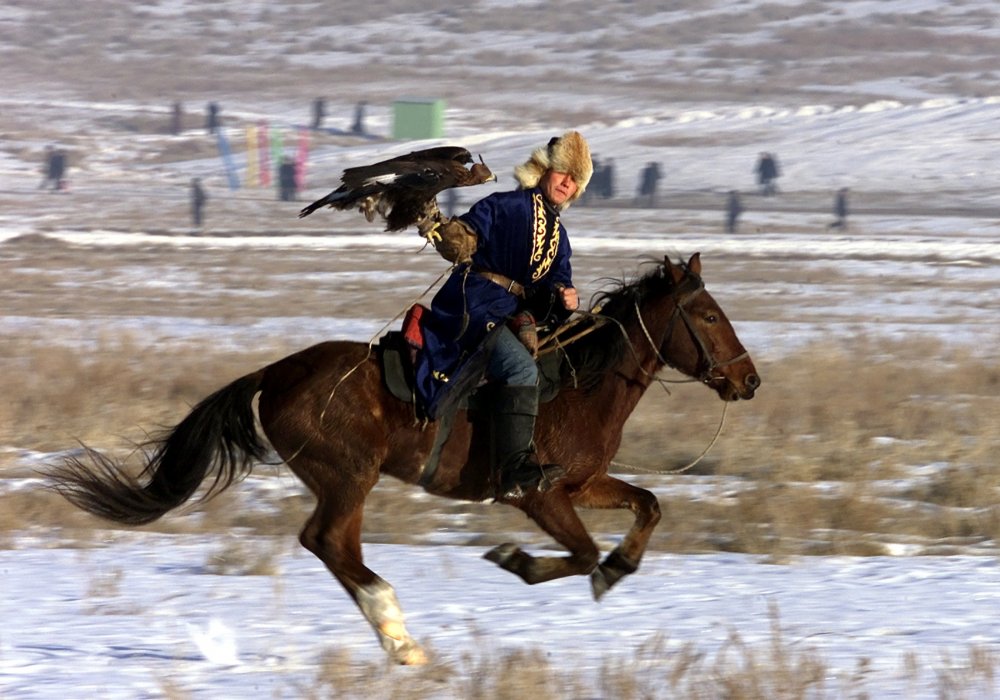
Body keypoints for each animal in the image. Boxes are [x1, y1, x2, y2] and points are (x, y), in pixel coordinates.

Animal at [48, 252, 756, 660]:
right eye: (707, 315)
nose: (748, 381)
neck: (581, 382)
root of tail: (274, 374)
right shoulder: (539, 494)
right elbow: (579, 553)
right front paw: (517, 561)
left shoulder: (584, 484)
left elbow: (649, 506)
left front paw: (618, 568)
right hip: (348, 475)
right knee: (327, 541)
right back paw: (399, 634)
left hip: (346, 480)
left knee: (334, 545)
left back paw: (395, 634)